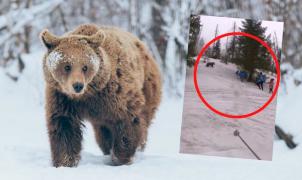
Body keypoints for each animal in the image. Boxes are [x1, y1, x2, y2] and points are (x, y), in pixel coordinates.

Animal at [41, 23, 162, 167]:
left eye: (85, 67)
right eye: (67, 66)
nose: (78, 85)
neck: (88, 94)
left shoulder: (116, 94)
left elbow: (128, 121)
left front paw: (121, 158)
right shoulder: (63, 98)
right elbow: (64, 126)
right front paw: (65, 162)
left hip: (148, 86)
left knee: (143, 121)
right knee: (103, 136)